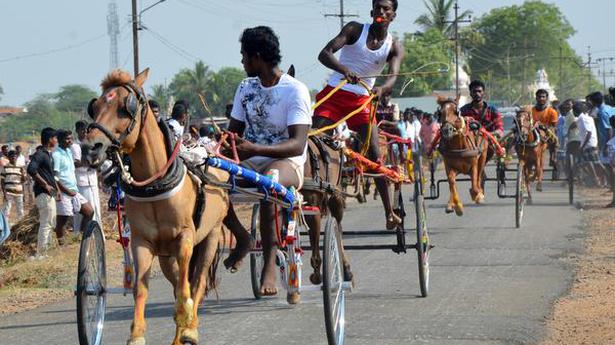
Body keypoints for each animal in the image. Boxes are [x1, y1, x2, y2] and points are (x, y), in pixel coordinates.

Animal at [82, 68, 226, 344]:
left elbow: (186, 288)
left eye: (125, 106)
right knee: (180, 283)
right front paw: (136, 334)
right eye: (95, 107)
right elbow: (141, 288)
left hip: (211, 236)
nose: (91, 148)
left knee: (198, 281)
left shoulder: (185, 238)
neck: (155, 183)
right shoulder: (142, 242)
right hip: (166, 255)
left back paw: (190, 327)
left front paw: (188, 324)